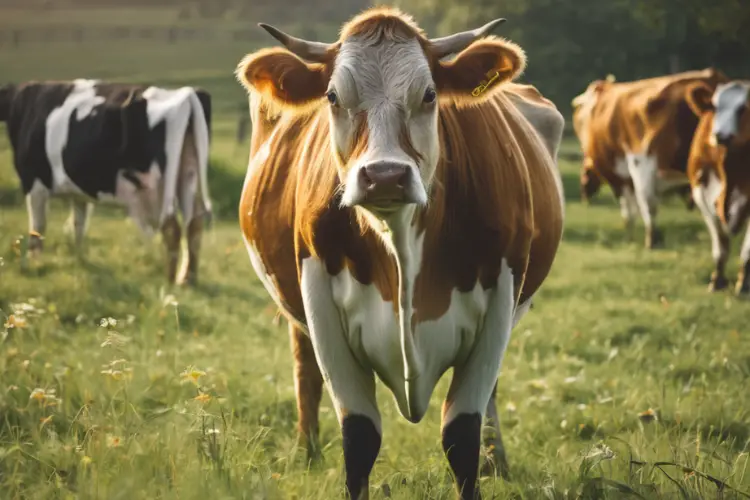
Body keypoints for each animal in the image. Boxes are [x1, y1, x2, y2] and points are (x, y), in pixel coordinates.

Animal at [0, 78, 213, 286]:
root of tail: (186, 94)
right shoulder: (78, 194)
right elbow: (78, 226)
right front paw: (78, 261)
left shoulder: (33, 183)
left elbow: (38, 228)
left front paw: (35, 263)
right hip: (188, 174)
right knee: (194, 223)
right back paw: (187, 279)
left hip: (158, 187)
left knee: (172, 228)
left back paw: (169, 282)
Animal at [235, 7, 564, 500]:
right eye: (333, 96)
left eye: (429, 94)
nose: (385, 176)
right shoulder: (318, 295)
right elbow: (359, 435)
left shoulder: (503, 293)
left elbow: (461, 433)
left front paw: (482, 462)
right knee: (304, 367)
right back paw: (305, 451)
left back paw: (496, 461)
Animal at [576, 68, 728, 248]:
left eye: (585, 175)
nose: (584, 196)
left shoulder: (620, 176)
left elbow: (630, 208)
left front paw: (630, 236)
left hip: (643, 163)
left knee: (648, 203)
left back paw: (651, 240)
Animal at [688, 80, 750, 294]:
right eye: (714, 107)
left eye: (743, 108)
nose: (722, 135)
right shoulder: (702, 194)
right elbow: (721, 246)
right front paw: (717, 280)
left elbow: (747, 250)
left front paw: (742, 284)